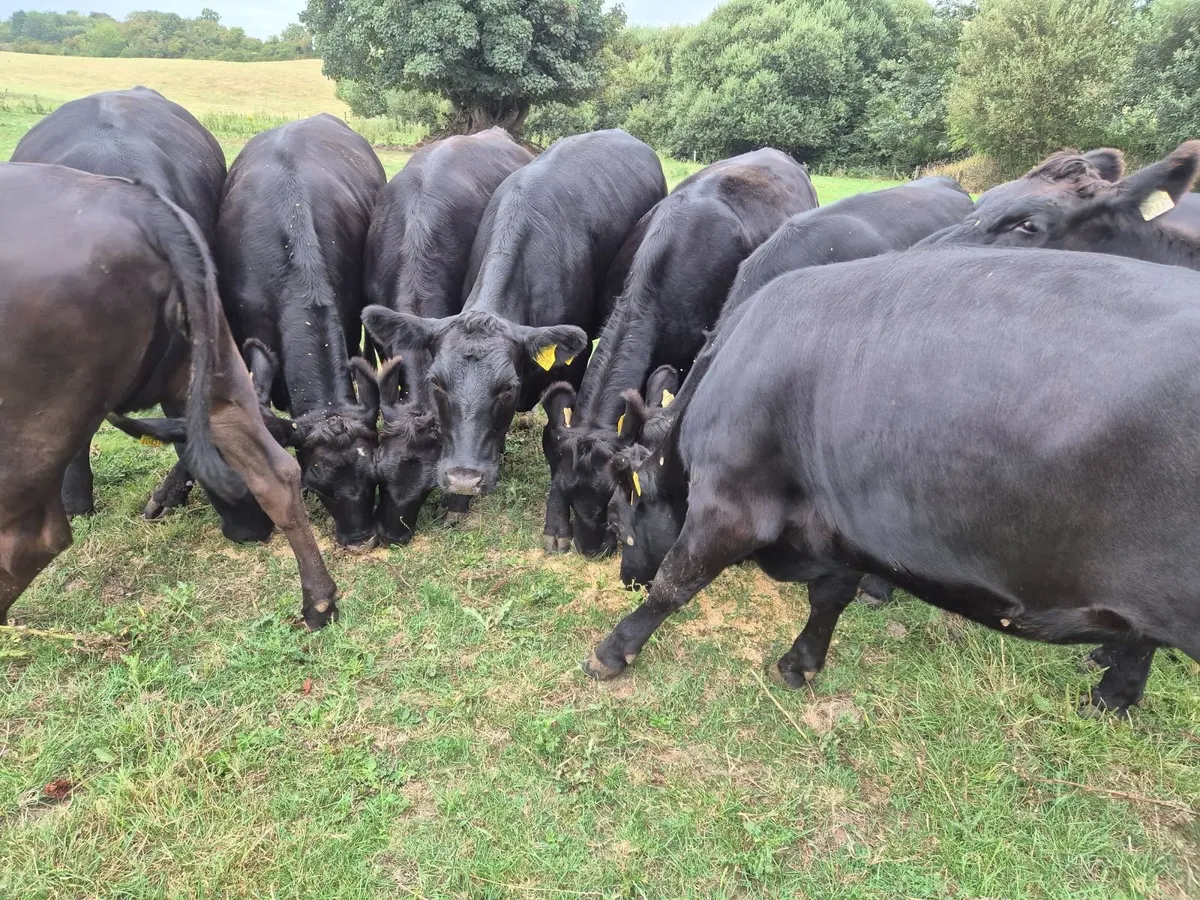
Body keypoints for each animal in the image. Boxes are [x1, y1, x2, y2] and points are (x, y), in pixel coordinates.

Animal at [0, 162, 339, 630]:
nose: (252, 533)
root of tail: (148, 211)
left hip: (35, 424)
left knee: (30, 540)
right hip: (216, 373)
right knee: (276, 475)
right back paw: (318, 603)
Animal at [587, 247, 1200, 717]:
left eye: (618, 515)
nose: (625, 578)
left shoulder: (729, 504)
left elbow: (676, 581)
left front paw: (613, 650)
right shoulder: (839, 519)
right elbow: (830, 596)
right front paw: (801, 663)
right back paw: (1112, 696)